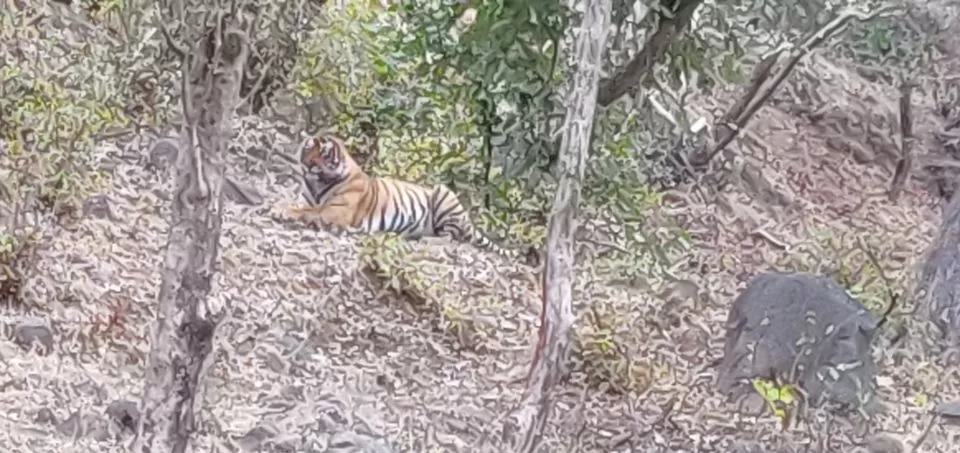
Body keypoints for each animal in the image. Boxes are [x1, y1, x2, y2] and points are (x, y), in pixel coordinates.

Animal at [288, 134, 533, 261]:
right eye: (307, 149)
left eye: (324, 153)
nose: (308, 164)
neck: (317, 182)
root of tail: (467, 218)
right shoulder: (308, 200)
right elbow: (302, 206)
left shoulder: (336, 210)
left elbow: (311, 211)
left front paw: (283, 211)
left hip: (443, 194)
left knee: (451, 238)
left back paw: (424, 239)